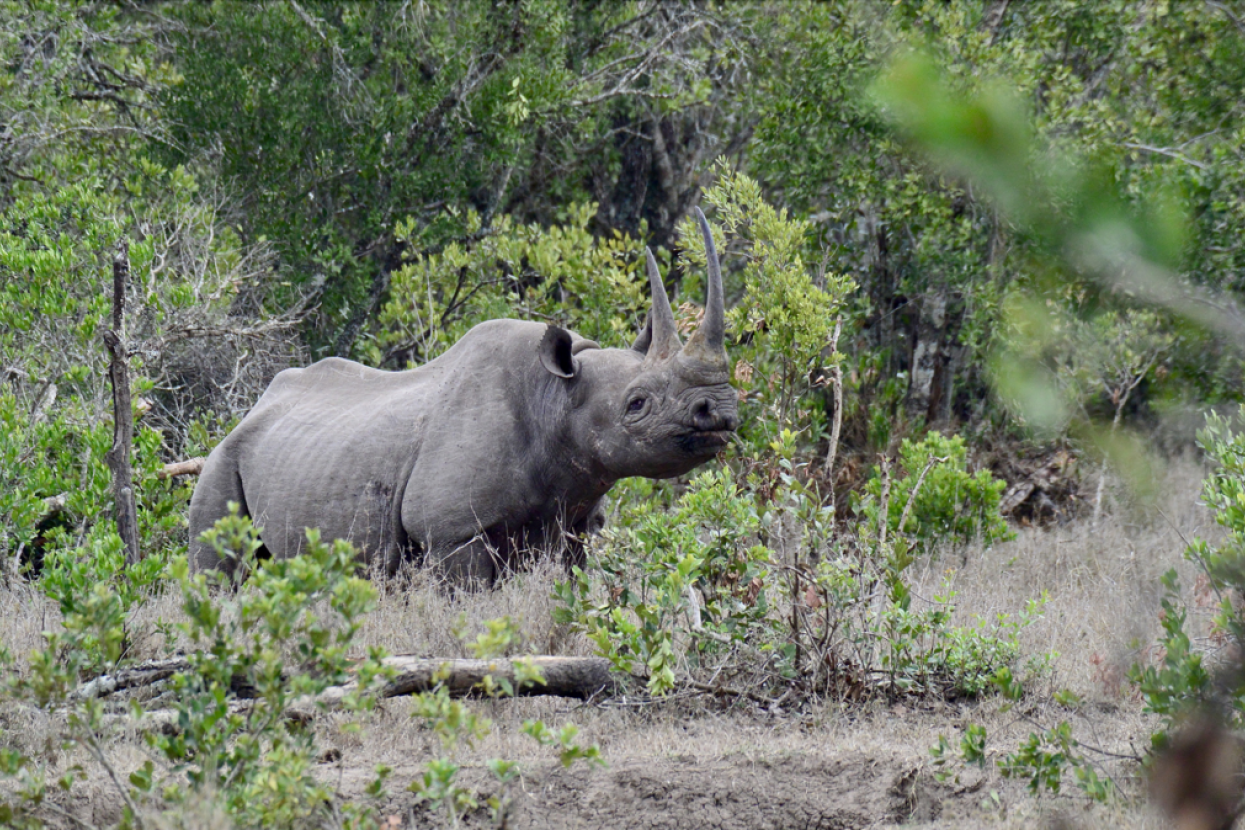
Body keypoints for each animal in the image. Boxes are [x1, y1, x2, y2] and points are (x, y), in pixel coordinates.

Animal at [188, 208, 738, 587]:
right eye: (637, 403)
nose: (722, 410)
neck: (559, 397)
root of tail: (253, 408)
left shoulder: (575, 520)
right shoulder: (452, 531)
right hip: (224, 457)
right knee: (219, 572)